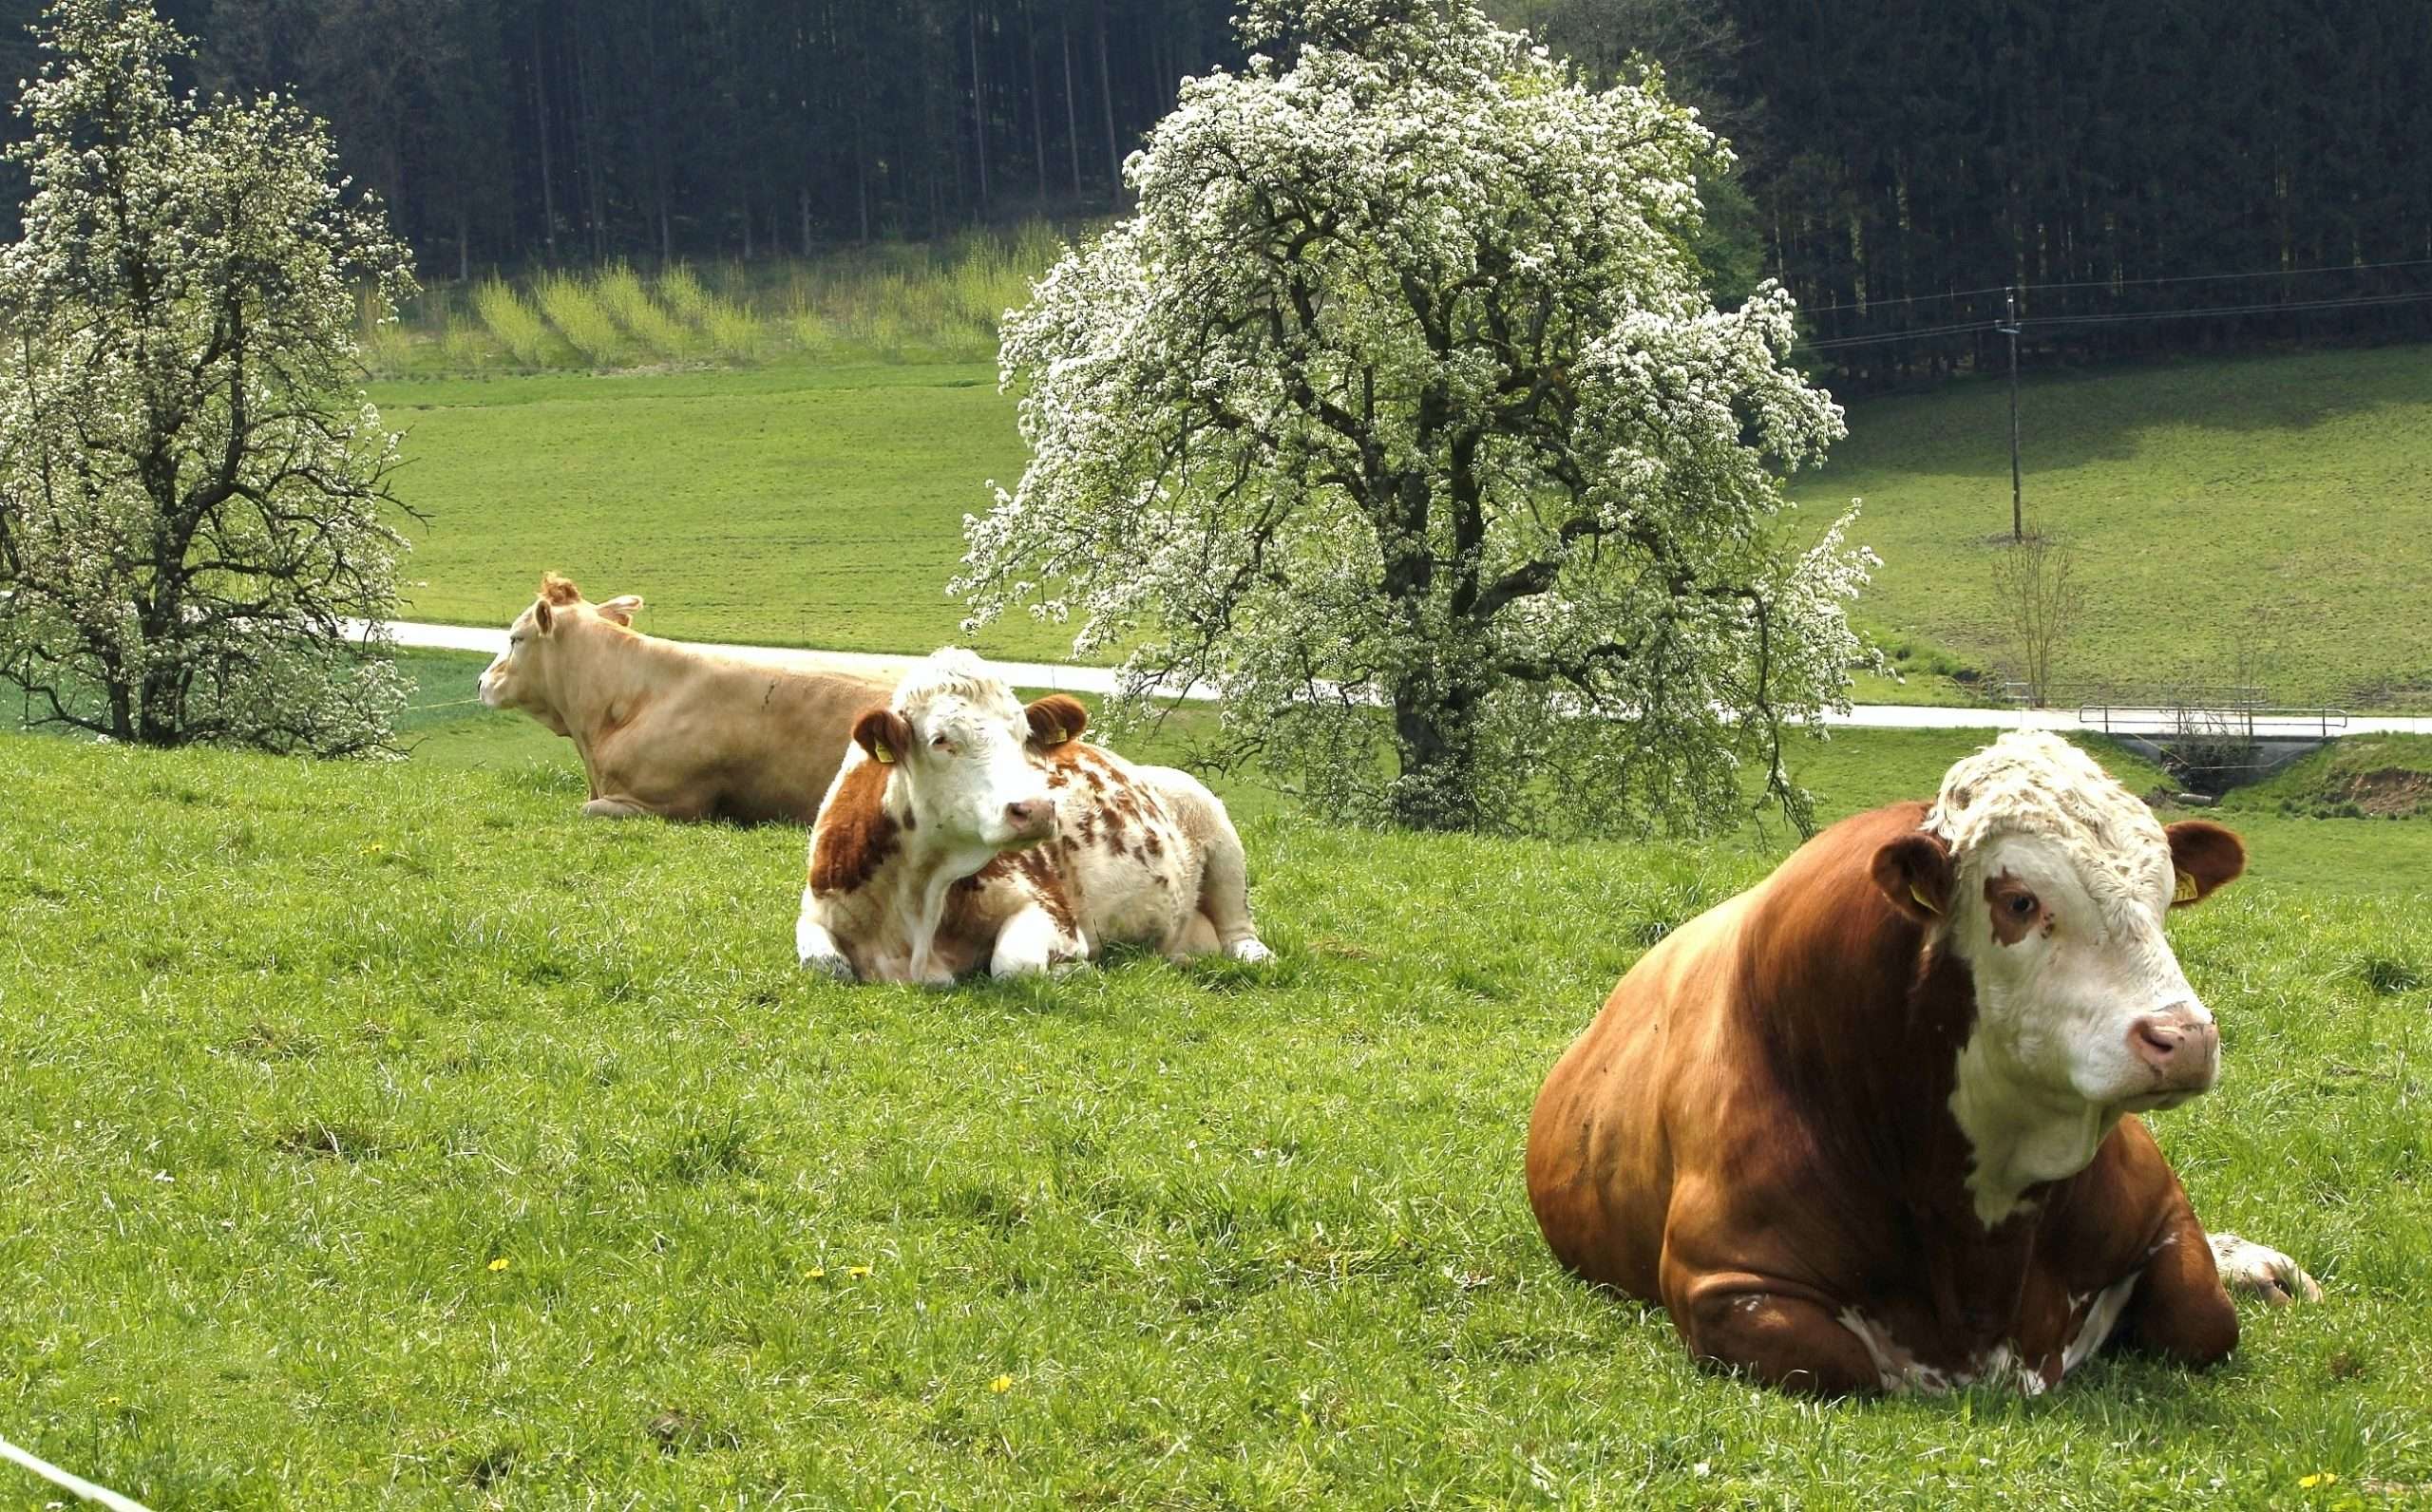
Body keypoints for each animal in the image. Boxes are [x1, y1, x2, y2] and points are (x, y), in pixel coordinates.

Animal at [793, 648, 1273, 983]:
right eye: (940, 739)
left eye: (1024, 735)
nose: (1037, 808)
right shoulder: (816, 910)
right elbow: (825, 964)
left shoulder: (1051, 909)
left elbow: (1013, 964)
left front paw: (1074, 967)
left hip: (1218, 833)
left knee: (1241, 932)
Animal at [1525, 731, 2319, 1396]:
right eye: (2019, 901)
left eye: (2162, 900)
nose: (2184, 1037)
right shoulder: (1724, 1281)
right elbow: (1850, 1365)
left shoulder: (2162, 1213)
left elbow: (2204, 1318)